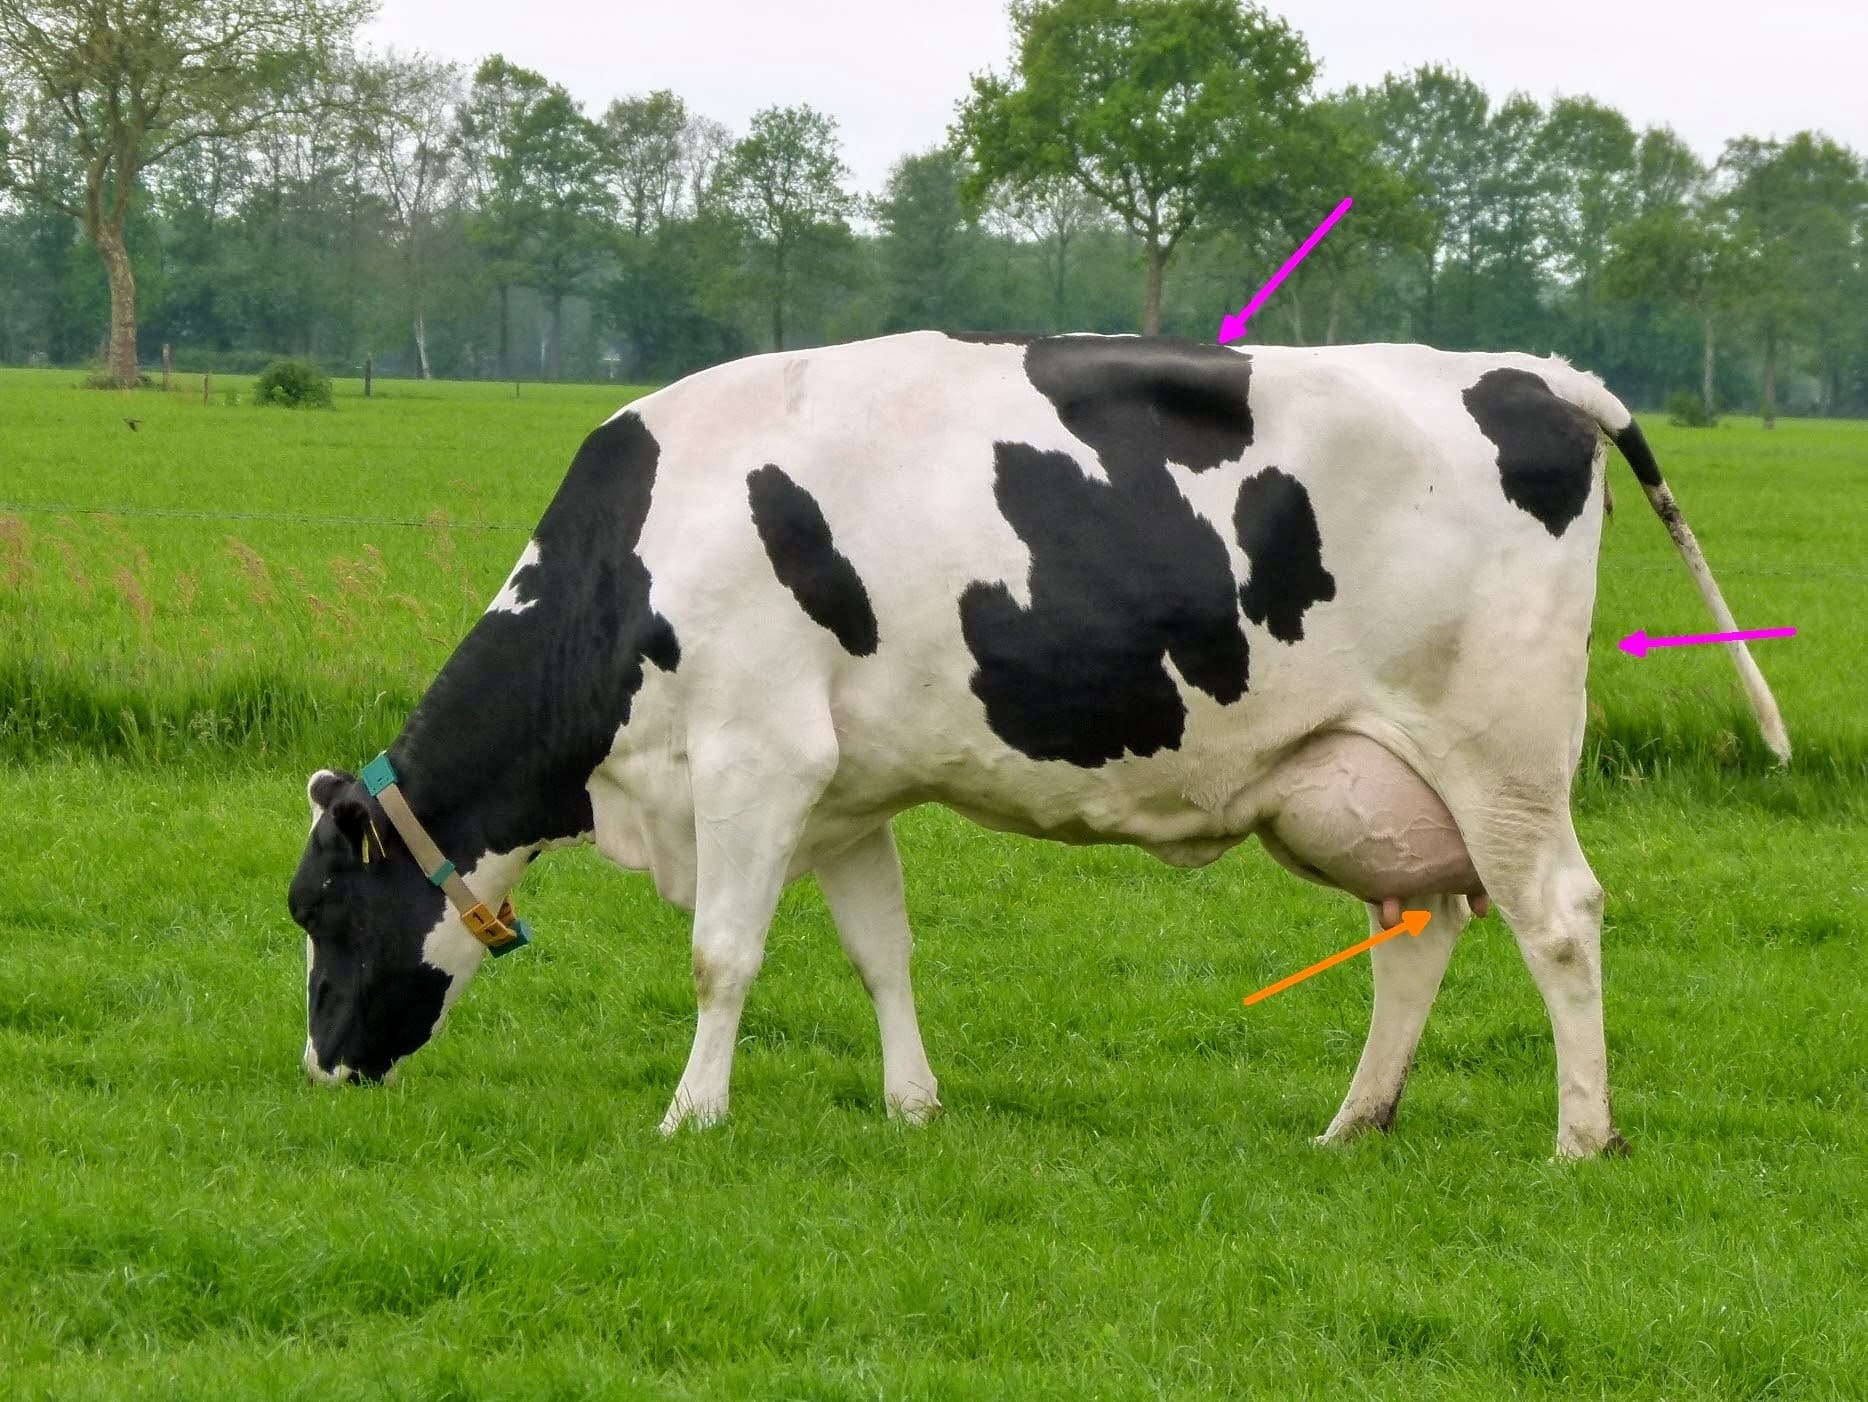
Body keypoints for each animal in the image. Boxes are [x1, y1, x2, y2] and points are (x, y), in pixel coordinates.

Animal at [289, 331, 1789, 1159]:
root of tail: (1535, 375)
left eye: (319, 909)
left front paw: (690, 1117)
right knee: (1420, 931)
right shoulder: (842, 795)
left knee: (1557, 916)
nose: (319, 1068)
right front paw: (913, 1106)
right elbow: (880, 952)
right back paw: (1352, 1124)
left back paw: (1580, 1137)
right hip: (1379, 772)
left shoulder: (754, 760)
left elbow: (723, 956)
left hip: (1503, 748)